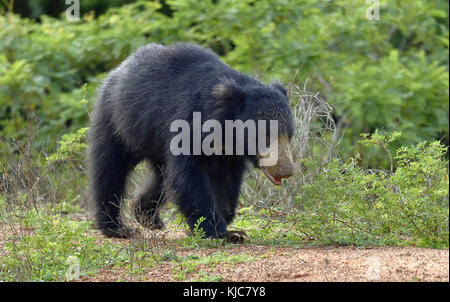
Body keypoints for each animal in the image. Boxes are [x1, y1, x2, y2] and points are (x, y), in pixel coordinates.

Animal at [88, 42, 296, 243]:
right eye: (266, 136)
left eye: (289, 136)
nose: (286, 171)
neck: (224, 130)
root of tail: (118, 69)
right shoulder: (187, 123)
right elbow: (189, 176)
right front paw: (221, 232)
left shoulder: (229, 153)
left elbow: (225, 180)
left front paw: (227, 225)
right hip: (118, 122)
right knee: (110, 169)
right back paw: (116, 227)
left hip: (154, 144)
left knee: (162, 178)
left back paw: (148, 216)